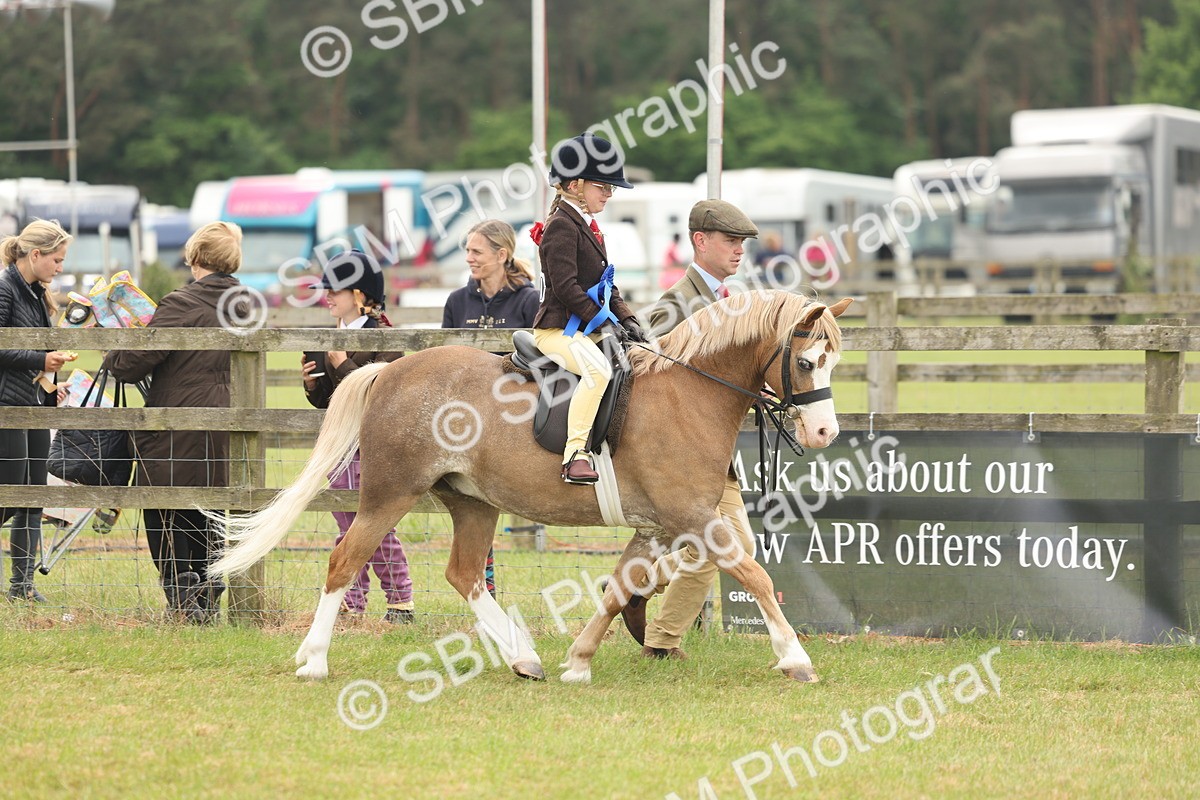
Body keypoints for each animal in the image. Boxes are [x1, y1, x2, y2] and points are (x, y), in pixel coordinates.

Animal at [210, 290, 852, 684]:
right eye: (806, 362)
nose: (825, 432)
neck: (688, 393)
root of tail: (389, 370)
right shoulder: (695, 518)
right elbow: (755, 575)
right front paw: (796, 658)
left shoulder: (656, 527)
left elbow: (619, 589)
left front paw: (578, 661)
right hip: (390, 495)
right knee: (345, 560)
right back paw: (315, 660)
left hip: (472, 502)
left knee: (465, 575)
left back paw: (524, 658)